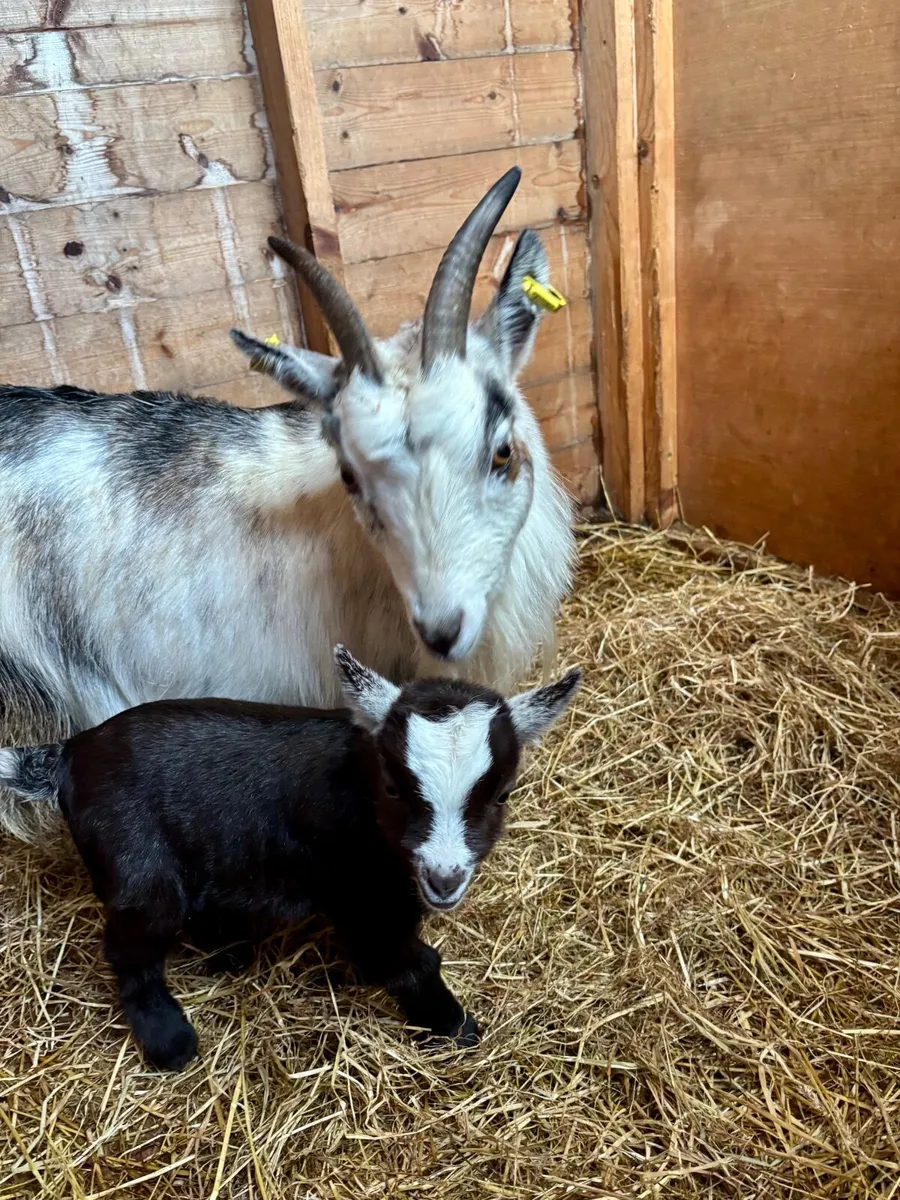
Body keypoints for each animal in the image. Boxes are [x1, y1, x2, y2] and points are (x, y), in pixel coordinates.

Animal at [0, 646, 582, 1070]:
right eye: (394, 788)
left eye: (502, 795)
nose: (444, 878)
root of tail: (68, 754)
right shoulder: (362, 897)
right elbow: (403, 962)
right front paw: (454, 1026)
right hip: (138, 868)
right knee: (132, 947)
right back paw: (170, 1041)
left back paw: (230, 951)